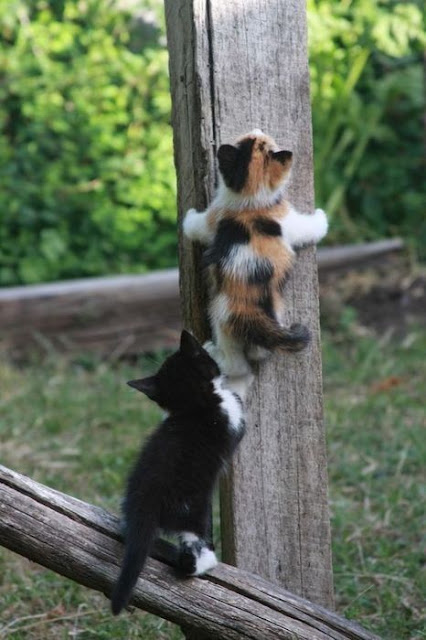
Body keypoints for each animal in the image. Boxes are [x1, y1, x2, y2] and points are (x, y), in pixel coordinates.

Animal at [110, 330, 245, 615]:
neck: (196, 404)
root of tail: (146, 503)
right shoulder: (235, 417)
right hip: (193, 510)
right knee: (190, 552)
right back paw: (205, 562)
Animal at [183, 129, 329, 377]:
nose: (257, 130)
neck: (253, 203)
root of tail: (250, 312)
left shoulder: (213, 217)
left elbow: (193, 226)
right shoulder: (286, 219)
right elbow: (311, 227)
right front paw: (321, 215)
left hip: (225, 318)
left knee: (241, 362)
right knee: (250, 356)